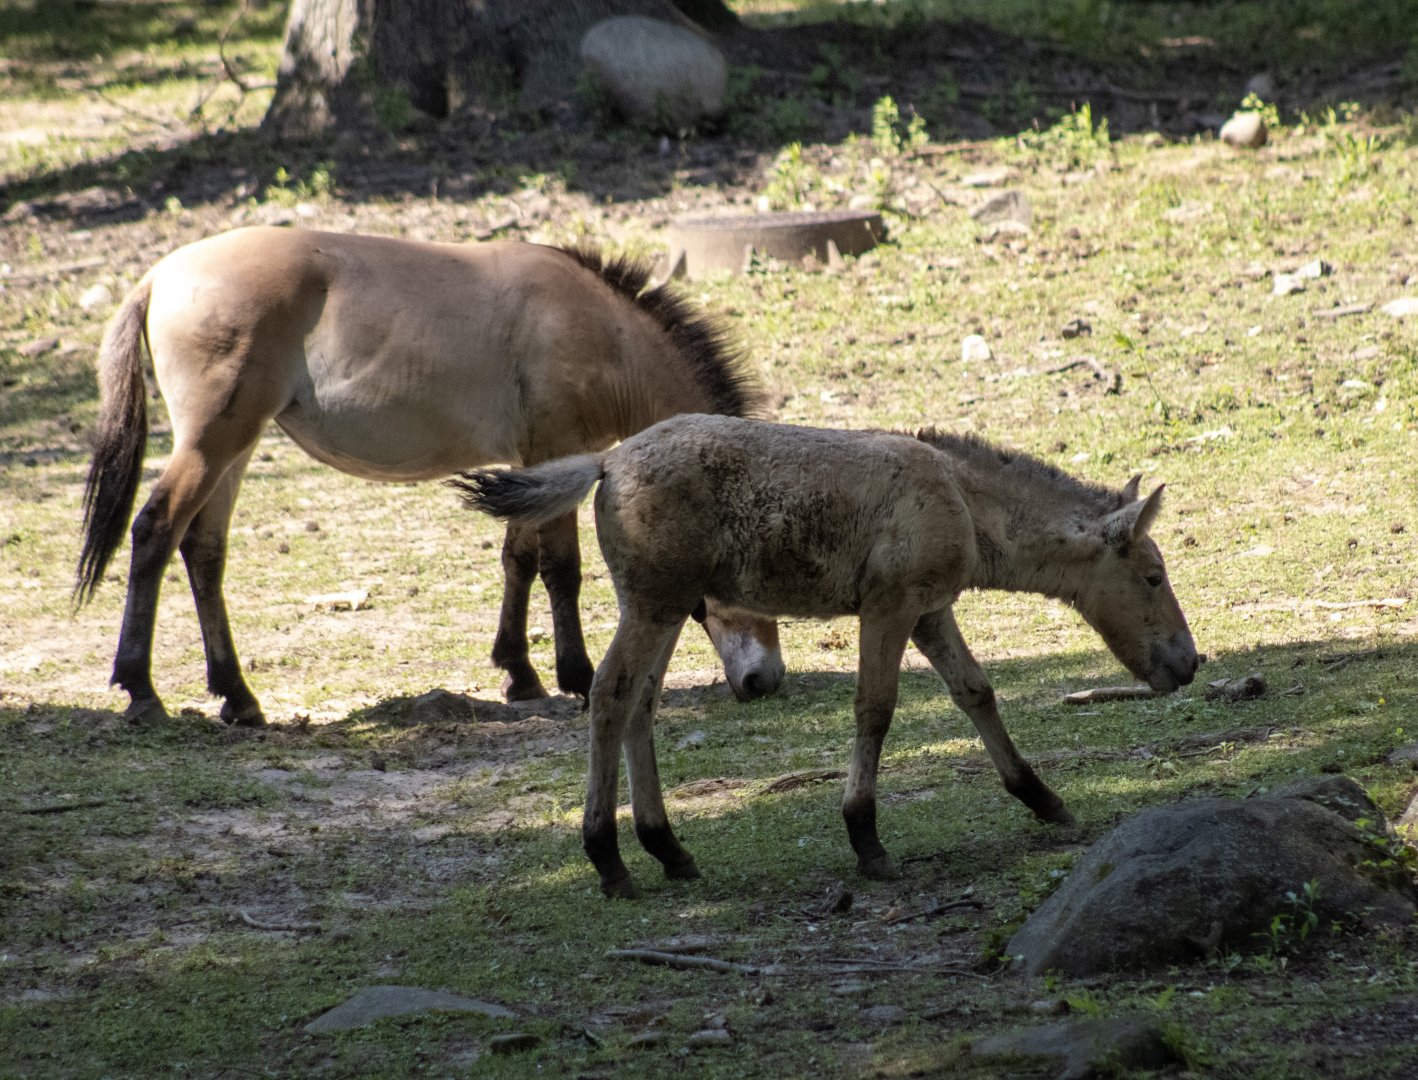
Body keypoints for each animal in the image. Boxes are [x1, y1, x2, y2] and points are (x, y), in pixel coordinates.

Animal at [75, 227, 785, 727]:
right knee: (156, 530)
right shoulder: (558, 448)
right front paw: (577, 678)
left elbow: (518, 559)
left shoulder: (528, 463)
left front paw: (519, 674)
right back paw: (141, 690)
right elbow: (561, 568)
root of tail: (158, 277)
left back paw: (238, 698)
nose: (766, 681)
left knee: (204, 551)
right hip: (212, 444)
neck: (600, 329)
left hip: (234, 450)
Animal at [455, 413, 1199, 897]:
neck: (961, 500)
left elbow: (975, 691)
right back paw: (608, 861)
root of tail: (604, 462)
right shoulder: (889, 605)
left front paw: (1044, 799)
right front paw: (866, 840)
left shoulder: (930, 611)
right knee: (610, 695)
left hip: (663, 606)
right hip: (654, 603)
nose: (1188, 663)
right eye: (1154, 576)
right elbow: (875, 708)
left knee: (641, 703)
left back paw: (668, 849)